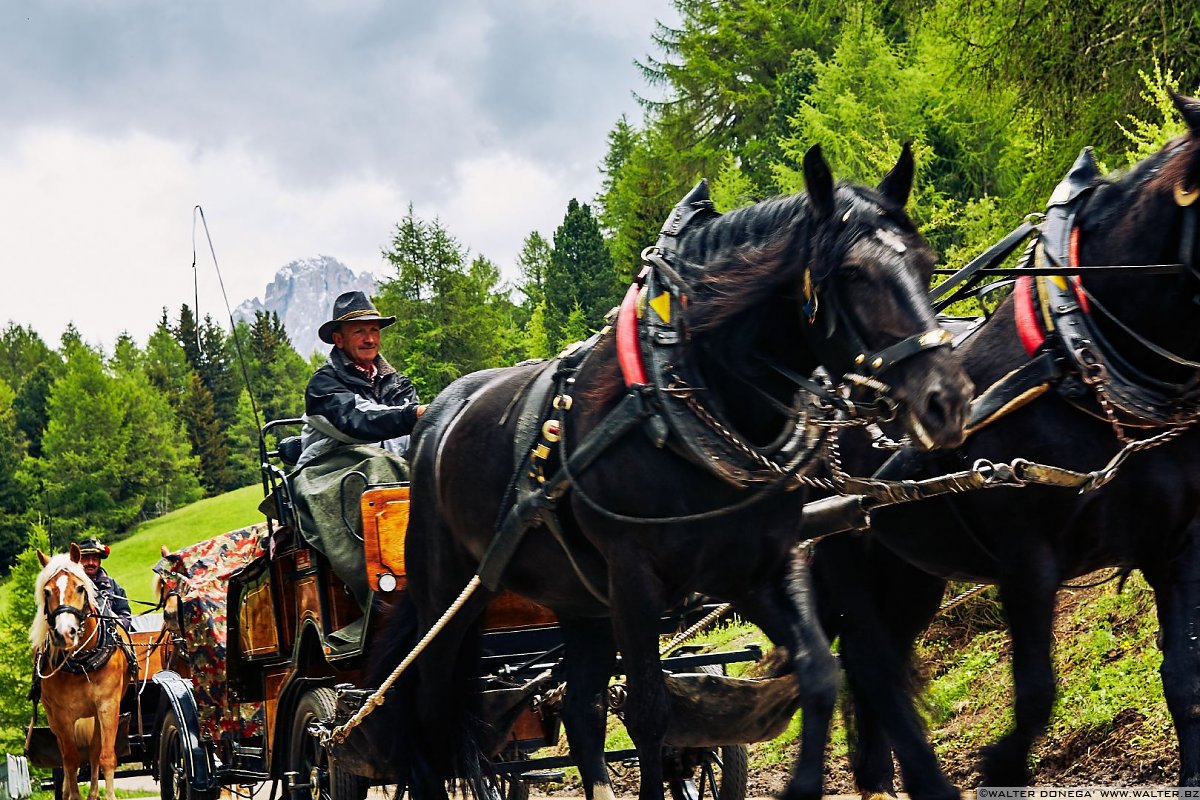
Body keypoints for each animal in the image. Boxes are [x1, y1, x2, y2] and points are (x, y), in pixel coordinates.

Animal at [32, 544, 131, 800]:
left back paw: (94, 793)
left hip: (95, 713)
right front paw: (72, 794)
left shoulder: (108, 705)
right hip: (54, 718)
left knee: (95, 751)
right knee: (65, 758)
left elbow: (106, 756)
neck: (83, 662)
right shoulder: (62, 714)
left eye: (79, 587)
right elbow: (71, 760)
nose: (65, 633)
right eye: (47, 591)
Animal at [364, 145, 974, 800]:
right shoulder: (634, 579)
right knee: (430, 719)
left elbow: (817, 671)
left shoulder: (758, 564)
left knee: (579, 712)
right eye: (854, 274)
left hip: (581, 601)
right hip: (447, 597)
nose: (948, 400)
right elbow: (649, 715)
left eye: (925, 261)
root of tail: (434, 422)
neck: (681, 393)